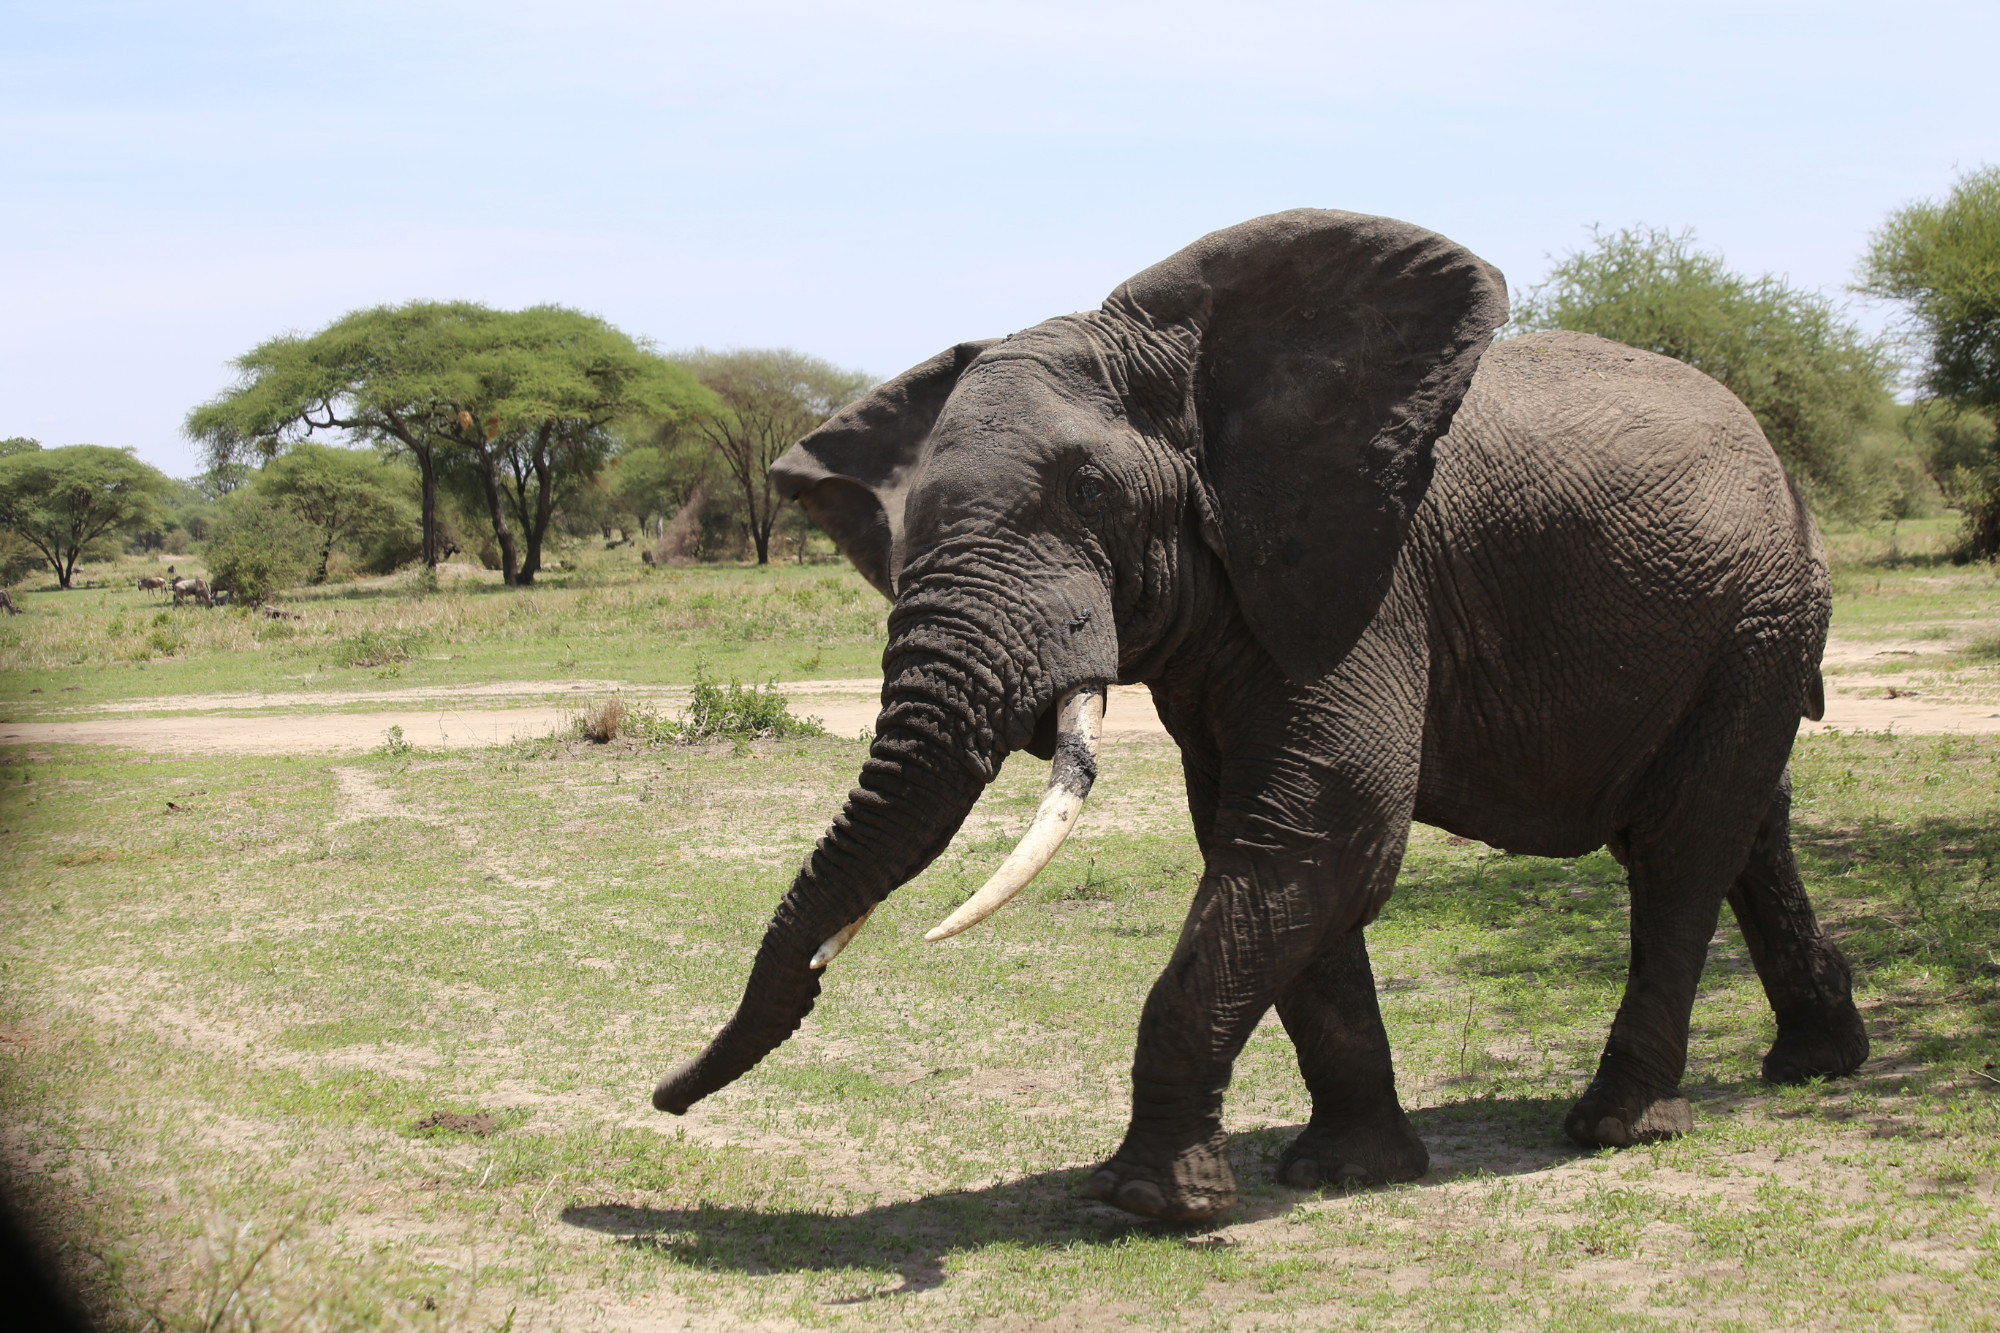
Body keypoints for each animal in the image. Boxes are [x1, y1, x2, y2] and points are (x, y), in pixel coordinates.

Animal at [656, 213, 1872, 1216]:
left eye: (1089, 494)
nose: (664, 1097)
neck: (1194, 369)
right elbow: (1267, 840)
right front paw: (1346, 1172)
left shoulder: (1371, 573)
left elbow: (1323, 825)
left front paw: (1145, 1204)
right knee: (1743, 823)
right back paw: (1820, 1062)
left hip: (1759, 611)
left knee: (1678, 846)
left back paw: (1617, 1127)